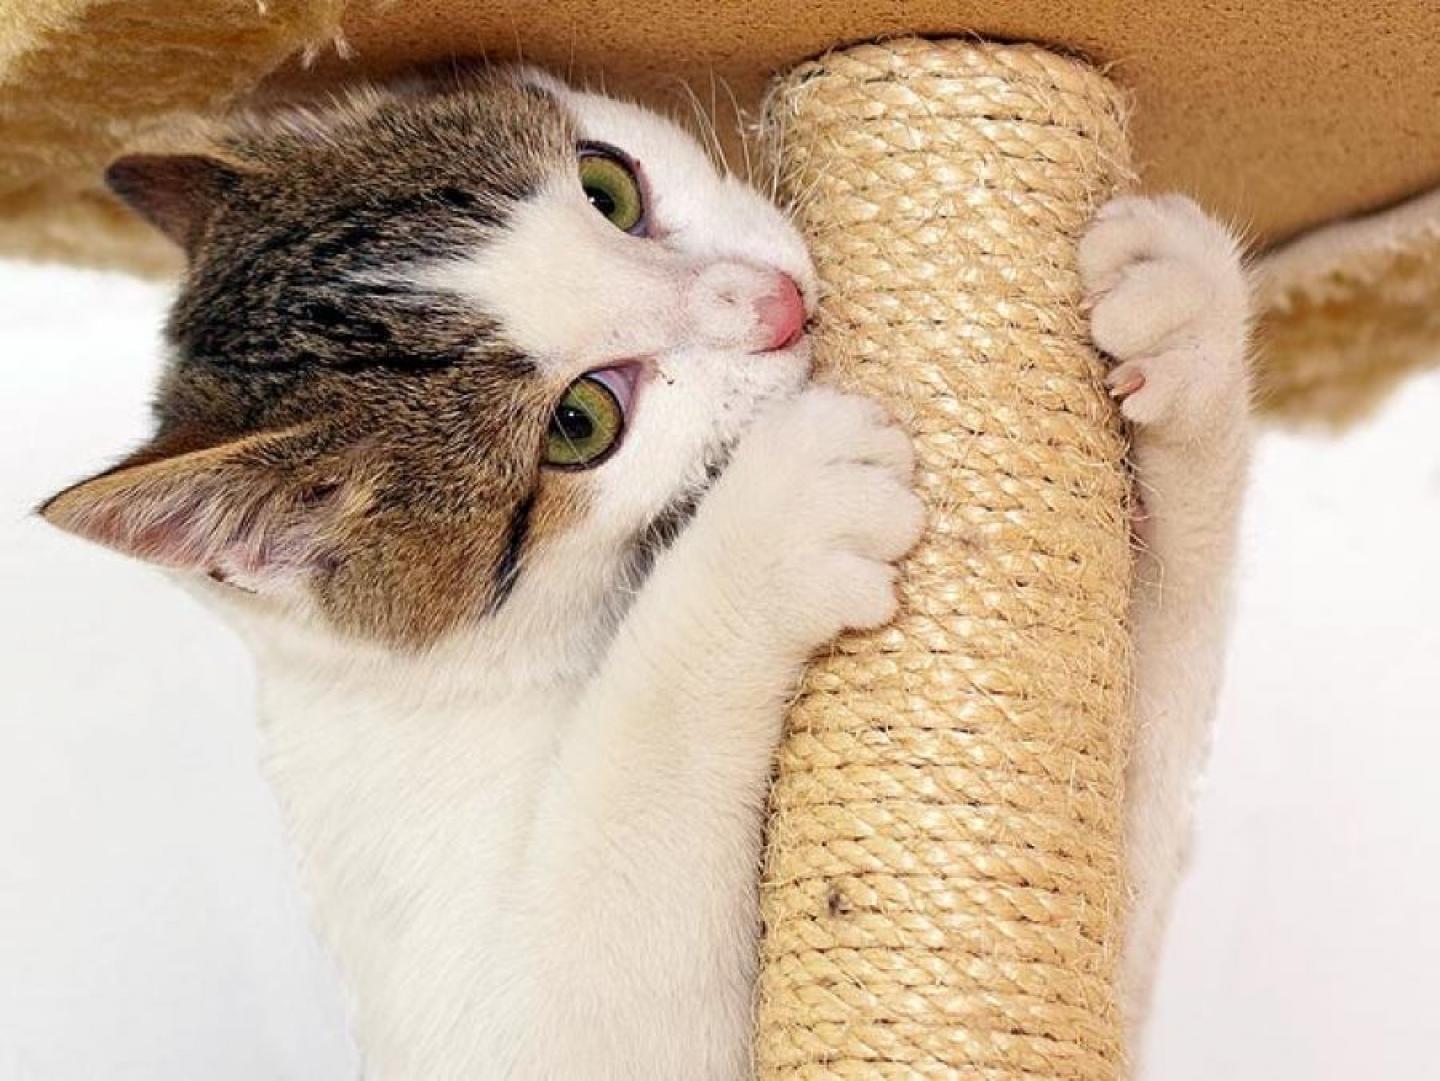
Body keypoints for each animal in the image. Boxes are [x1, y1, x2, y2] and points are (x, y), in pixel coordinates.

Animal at [39, 65, 1255, 1081]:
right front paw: (774, 520)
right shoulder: (484, 1002)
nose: (773, 305)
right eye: (581, 422)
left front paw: (1184, 319)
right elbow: (624, 843)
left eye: (607, 185)